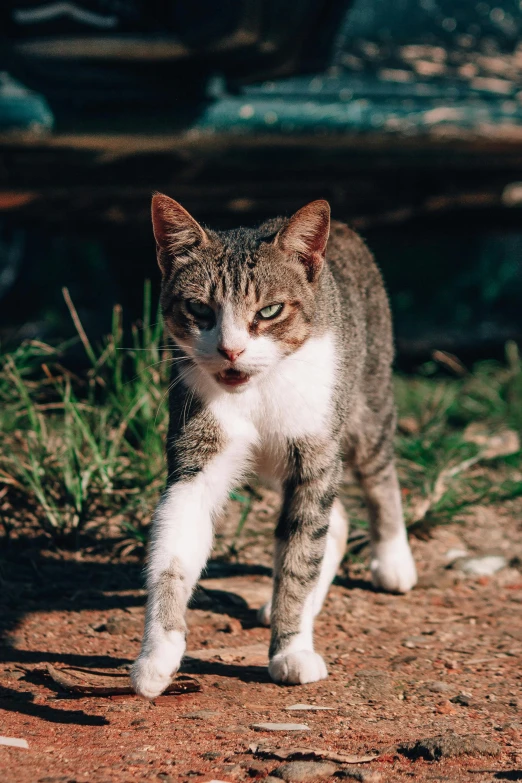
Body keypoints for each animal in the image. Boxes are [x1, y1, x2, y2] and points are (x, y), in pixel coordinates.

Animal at [130, 194, 414, 700]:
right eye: (199, 308)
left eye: (269, 311)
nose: (231, 350)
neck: (257, 390)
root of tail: (342, 227)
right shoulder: (197, 454)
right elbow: (173, 550)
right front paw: (157, 654)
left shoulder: (316, 452)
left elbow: (301, 553)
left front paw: (292, 648)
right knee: (335, 520)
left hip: (364, 403)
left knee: (376, 475)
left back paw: (393, 559)